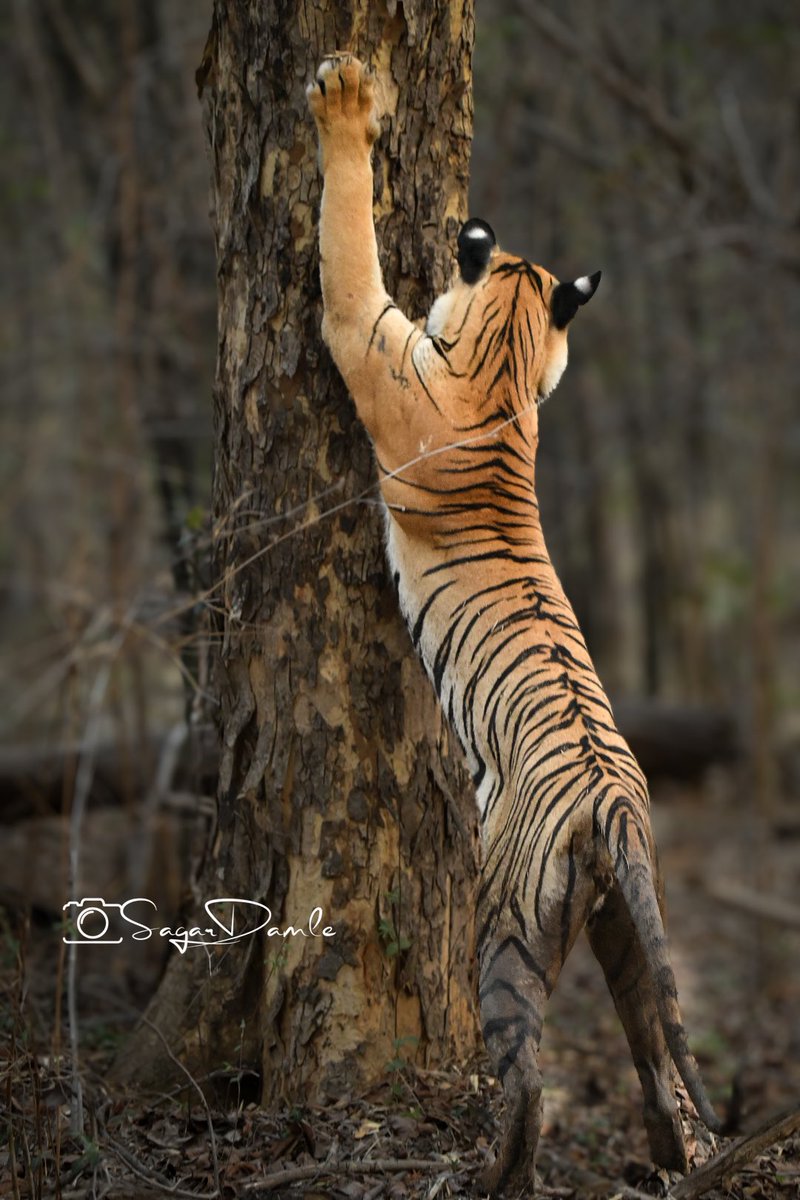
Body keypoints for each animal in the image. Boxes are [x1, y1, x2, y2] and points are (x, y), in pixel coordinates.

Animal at [307, 54, 719, 1190]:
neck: (501, 377)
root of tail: (616, 808)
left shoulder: (366, 331)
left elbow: (346, 238)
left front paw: (346, 98)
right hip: (627, 940)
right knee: (659, 1064)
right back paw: (673, 1163)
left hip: (508, 928)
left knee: (529, 1079)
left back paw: (494, 1175)